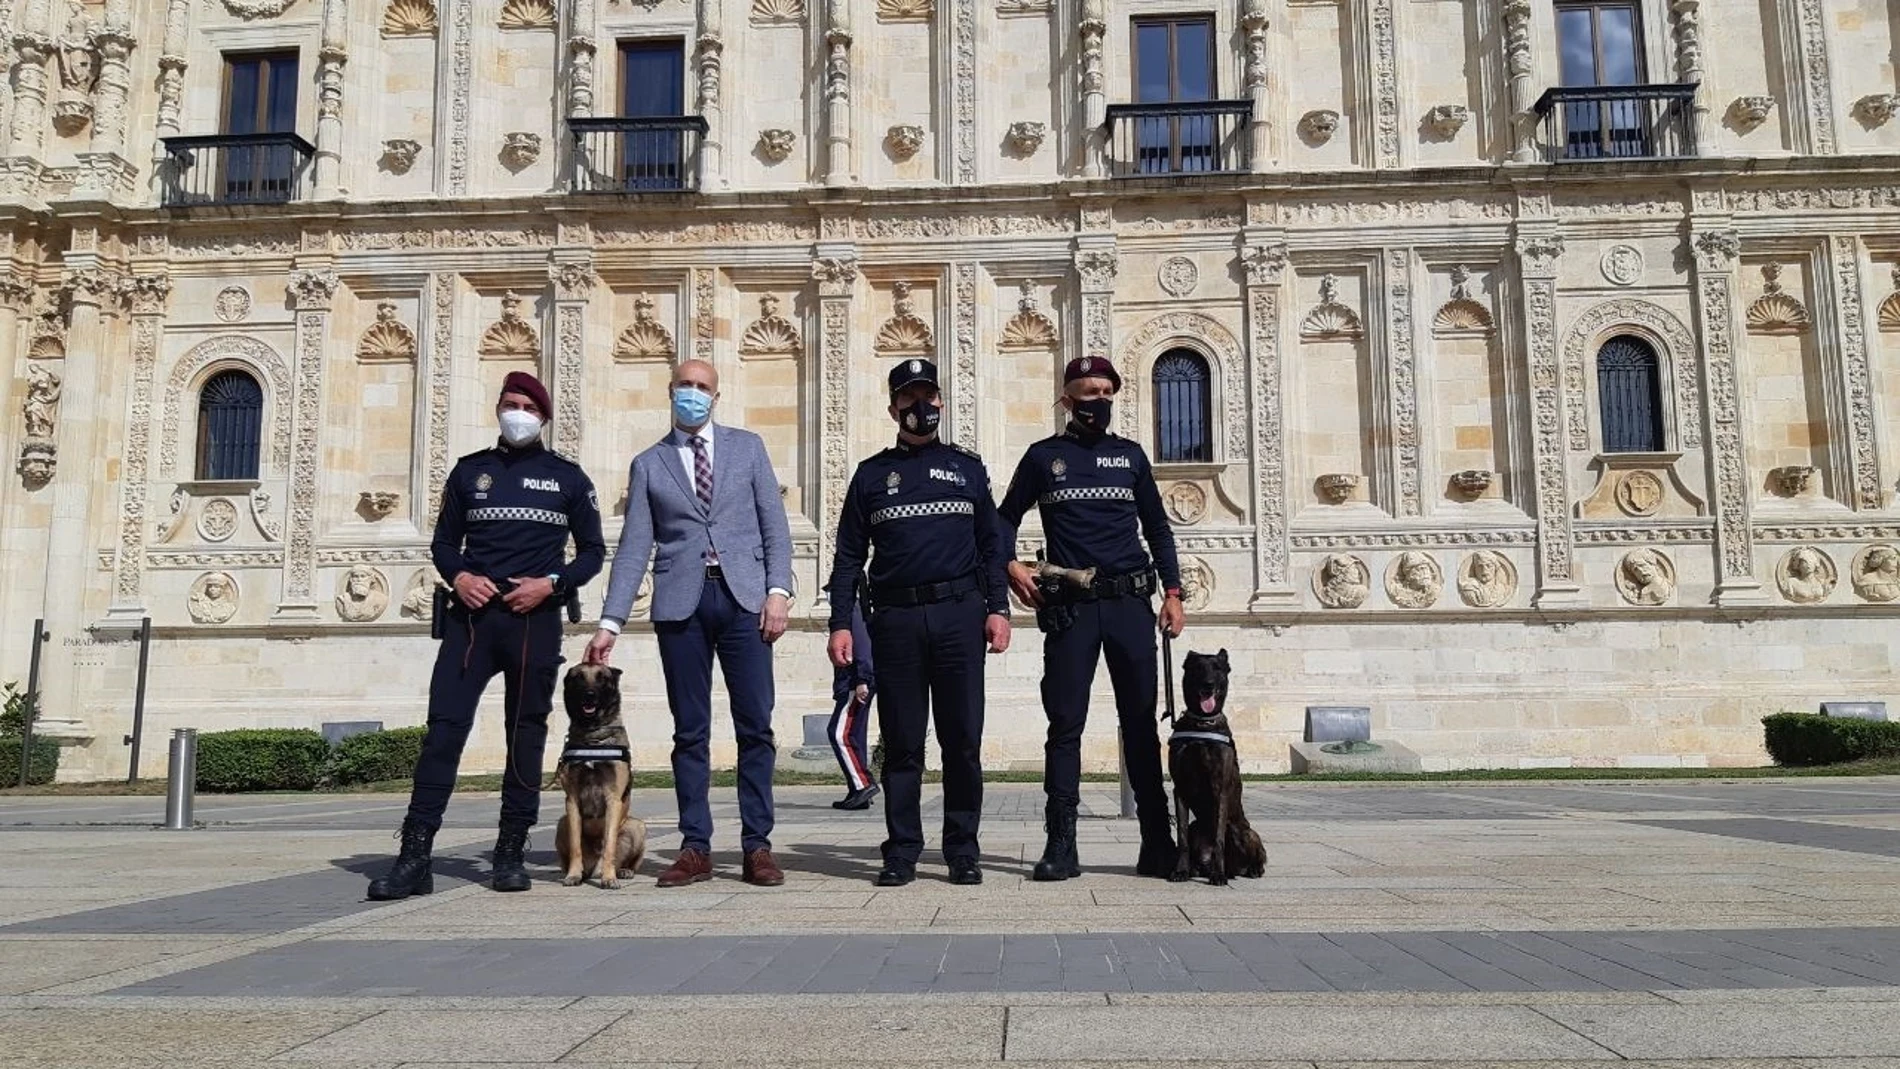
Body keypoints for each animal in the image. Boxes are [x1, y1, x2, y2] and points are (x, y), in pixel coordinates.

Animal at [554, 664, 649, 892]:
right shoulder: (572, 801)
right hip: (562, 823)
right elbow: (575, 846)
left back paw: (622, 871)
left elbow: (609, 845)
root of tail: (593, 869)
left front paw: (609, 878)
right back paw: (576, 873)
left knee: (625, 858)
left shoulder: (613, 799)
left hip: (637, 826)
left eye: (602, 678)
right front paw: (573, 875)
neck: (592, 738)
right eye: (578, 678)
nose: (589, 695)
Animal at [1162, 653, 1269, 888]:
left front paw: (1218, 876)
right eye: (1198, 668)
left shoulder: (1220, 790)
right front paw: (1180, 871)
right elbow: (1181, 837)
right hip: (1197, 828)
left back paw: (1244, 870)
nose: (1208, 685)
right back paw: (1198, 868)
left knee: (1256, 856)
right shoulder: (1180, 790)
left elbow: (1219, 839)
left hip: (1243, 831)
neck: (1203, 723)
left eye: (1218, 668)